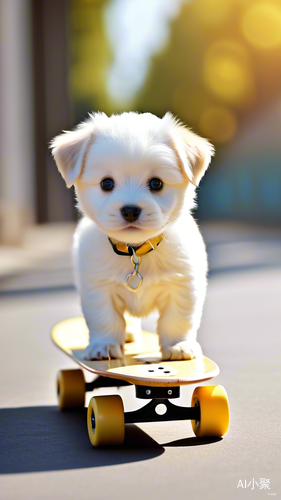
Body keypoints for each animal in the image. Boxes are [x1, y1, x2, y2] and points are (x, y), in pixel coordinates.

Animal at [50, 110, 212, 360]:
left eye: (156, 183)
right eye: (106, 183)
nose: (130, 210)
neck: (136, 250)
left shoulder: (184, 284)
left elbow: (177, 319)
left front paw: (178, 345)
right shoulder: (97, 287)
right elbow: (105, 319)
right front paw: (103, 346)